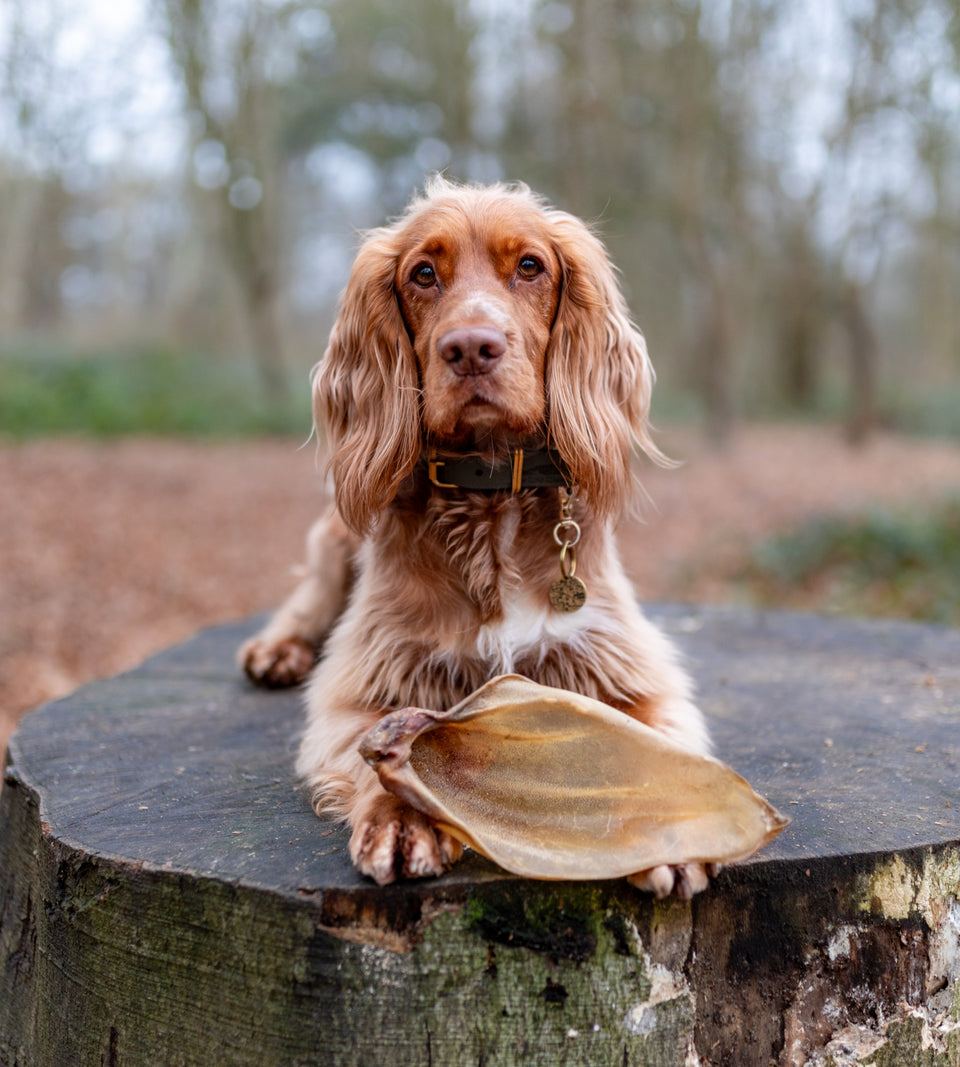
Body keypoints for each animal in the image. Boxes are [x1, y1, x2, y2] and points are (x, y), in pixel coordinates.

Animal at [242, 179, 712, 896]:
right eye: (423, 274)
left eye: (530, 267)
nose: (470, 348)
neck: (491, 500)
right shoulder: (366, 684)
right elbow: (379, 746)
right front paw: (405, 819)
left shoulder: (627, 672)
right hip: (334, 541)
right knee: (308, 601)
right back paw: (278, 650)